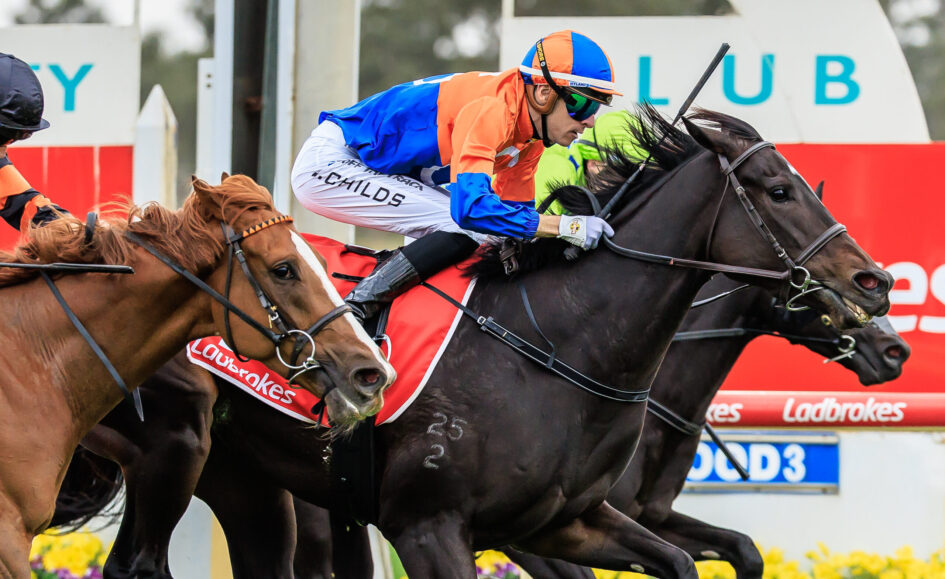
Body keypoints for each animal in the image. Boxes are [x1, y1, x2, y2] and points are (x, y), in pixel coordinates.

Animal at [61, 107, 892, 578]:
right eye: (779, 191)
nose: (877, 284)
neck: (556, 348)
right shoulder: (431, 525)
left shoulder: (563, 519)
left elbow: (695, 558)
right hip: (176, 446)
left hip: (250, 479)